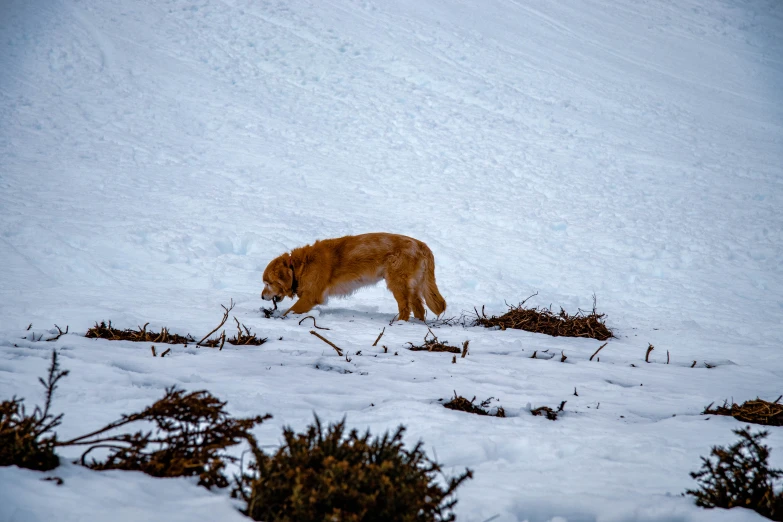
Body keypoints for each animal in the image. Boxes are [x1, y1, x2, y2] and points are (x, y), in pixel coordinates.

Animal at [264, 233, 448, 320]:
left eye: (268, 283)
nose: (262, 297)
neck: (299, 266)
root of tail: (422, 245)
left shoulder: (311, 297)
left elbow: (289, 311)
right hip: (414, 286)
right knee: (419, 309)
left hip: (397, 283)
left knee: (406, 309)